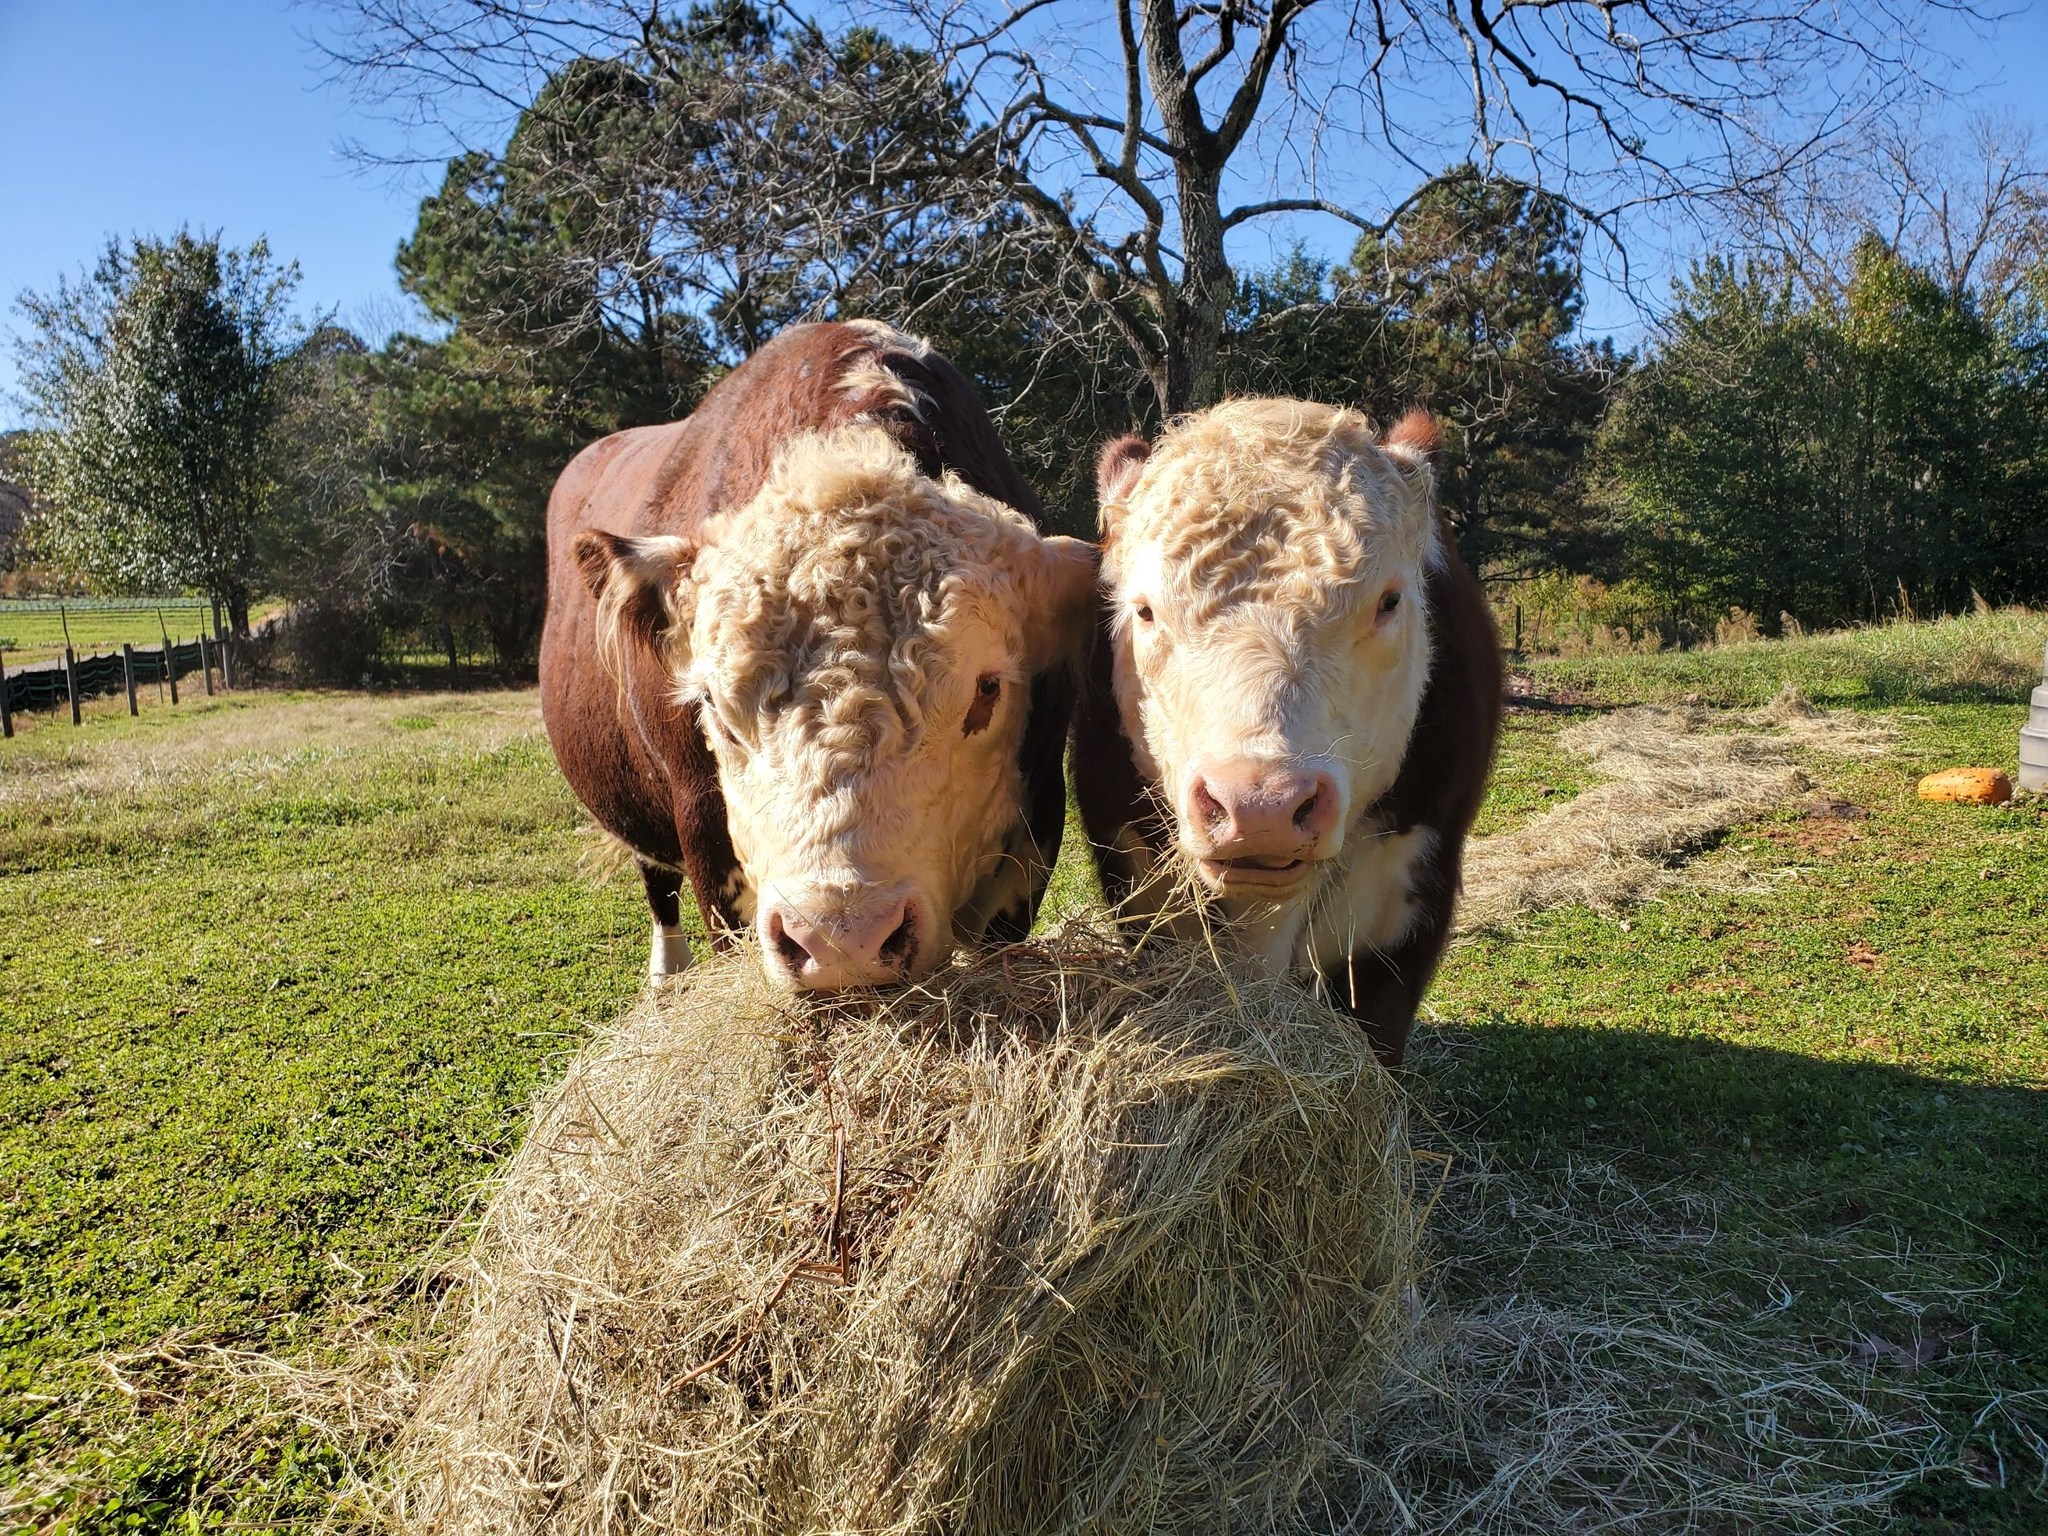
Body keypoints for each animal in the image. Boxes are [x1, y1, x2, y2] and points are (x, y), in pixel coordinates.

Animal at [541, 321, 1096, 991]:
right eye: (713, 707)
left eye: (987, 689)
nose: (840, 940)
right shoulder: (705, 841)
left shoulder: (1035, 826)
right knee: (657, 884)